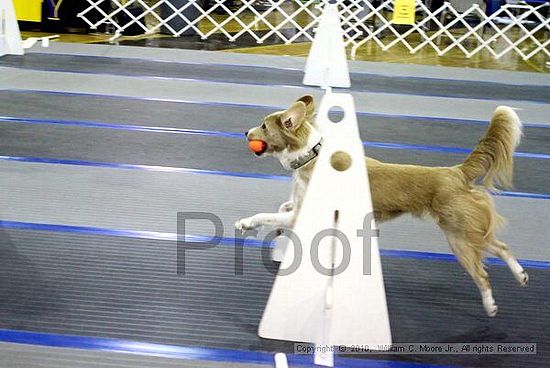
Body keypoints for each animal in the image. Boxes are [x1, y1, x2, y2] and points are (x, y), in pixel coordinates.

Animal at [236, 95, 532, 316]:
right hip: (464, 230)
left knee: (482, 273)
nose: (245, 131)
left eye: (263, 126)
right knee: (501, 246)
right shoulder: (299, 208)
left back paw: (490, 304)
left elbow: (266, 215)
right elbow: (281, 210)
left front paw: (246, 223)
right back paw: (521, 276)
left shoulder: (302, 213)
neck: (311, 156)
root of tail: (455, 172)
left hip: (459, 235)